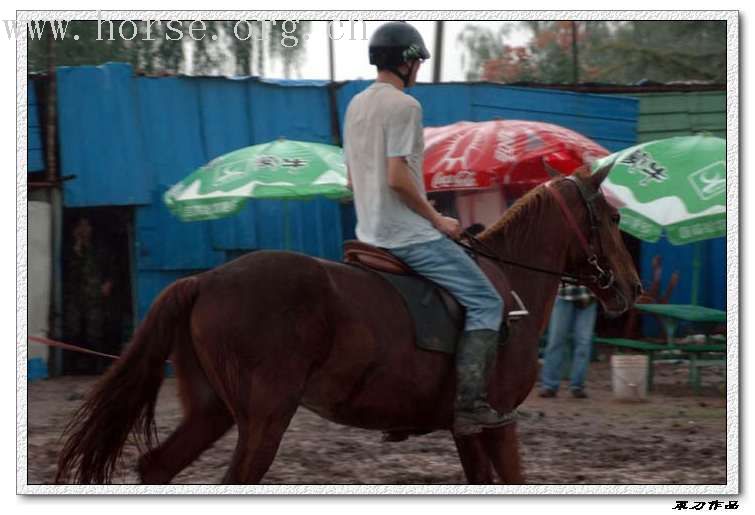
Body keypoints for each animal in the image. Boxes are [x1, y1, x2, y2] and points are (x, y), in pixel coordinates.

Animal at [56, 168, 640, 484]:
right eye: (613, 219)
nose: (632, 289)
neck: (511, 282)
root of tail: (205, 280)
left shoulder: (467, 430)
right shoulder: (497, 421)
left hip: (212, 411)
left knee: (157, 465)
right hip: (264, 418)